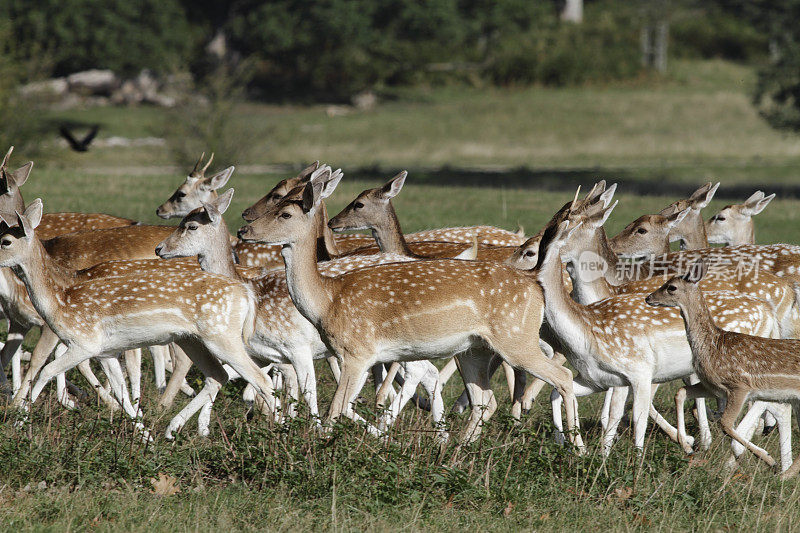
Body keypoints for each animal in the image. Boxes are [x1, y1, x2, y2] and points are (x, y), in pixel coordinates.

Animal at [0, 198, 282, 436]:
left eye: (5, 241)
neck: (60, 298)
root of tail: (245, 293)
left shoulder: (84, 342)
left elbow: (45, 369)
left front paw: (20, 421)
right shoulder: (106, 352)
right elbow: (122, 392)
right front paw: (145, 435)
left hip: (222, 336)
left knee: (262, 380)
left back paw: (279, 433)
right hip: (194, 339)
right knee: (219, 376)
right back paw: (172, 429)